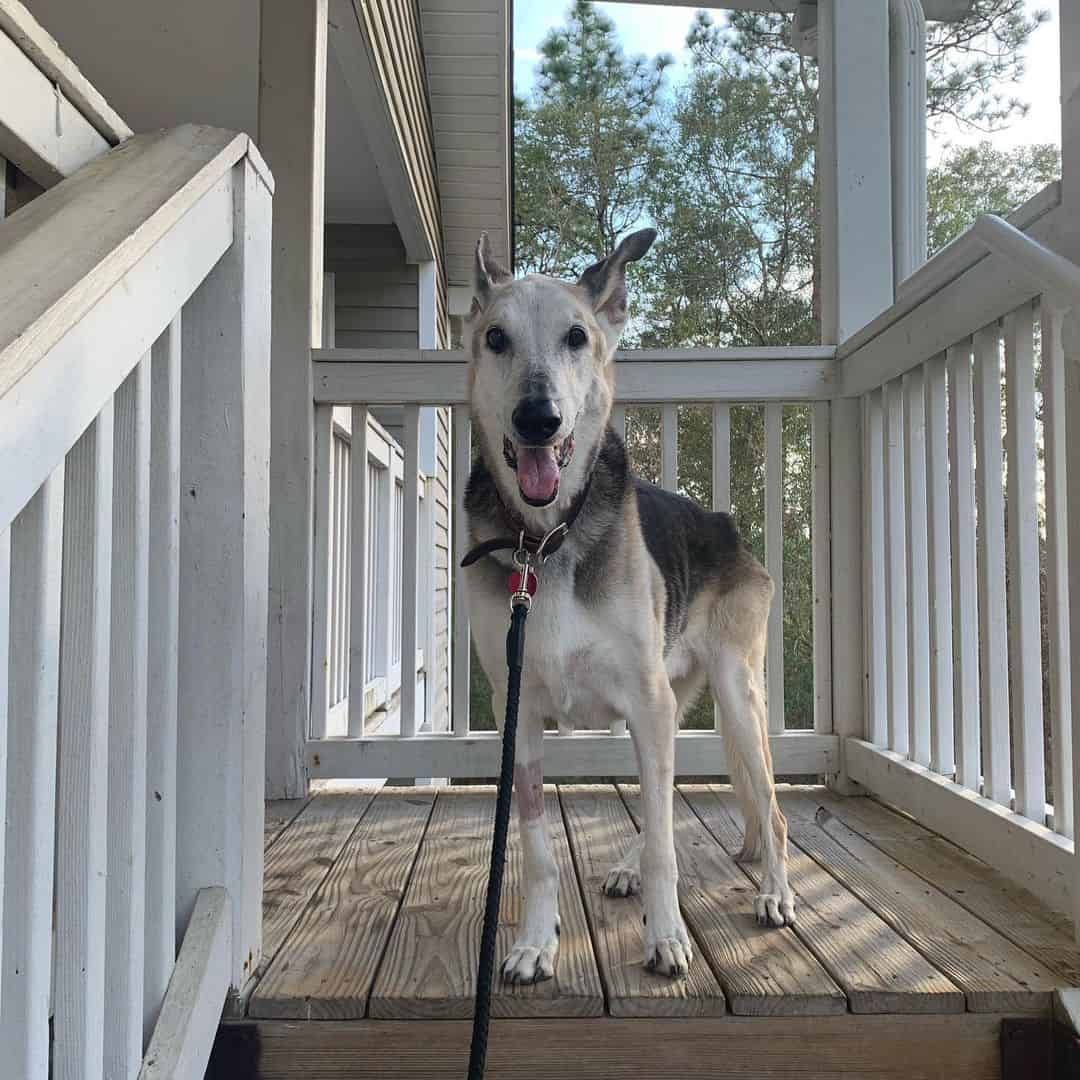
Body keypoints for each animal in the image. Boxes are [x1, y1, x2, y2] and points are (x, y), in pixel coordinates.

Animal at [457, 230, 794, 989]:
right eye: (496, 337)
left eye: (577, 337)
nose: (538, 419)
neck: (546, 538)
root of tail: (727, 524)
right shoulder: (518, 711)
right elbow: (537, 846)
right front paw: (536, 942)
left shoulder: (647, 702)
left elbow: (668, 845)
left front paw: (666, 937)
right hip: (675, 697)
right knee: (659, 802)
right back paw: (627, 866)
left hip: (734, 690)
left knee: (766, 809)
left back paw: (774, 891)